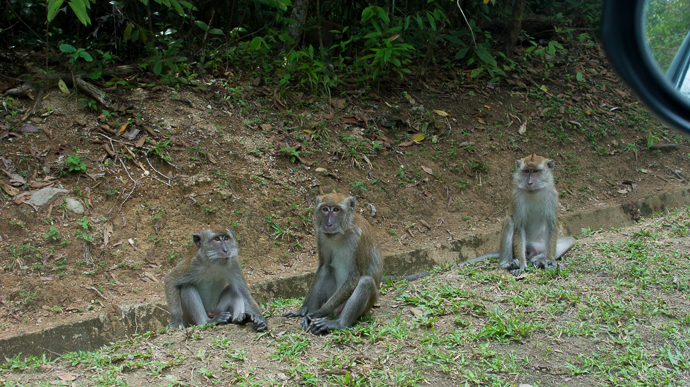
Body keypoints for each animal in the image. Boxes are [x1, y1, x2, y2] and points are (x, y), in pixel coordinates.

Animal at [282, 192, 384, 334]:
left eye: (336, 210)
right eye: (325, 209)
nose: (328, 224)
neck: (343, 231)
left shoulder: (359, 238)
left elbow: (354, 276)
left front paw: (320, 312)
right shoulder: (321, 235)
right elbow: (321, 265)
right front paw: (304, 309)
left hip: (363, 306)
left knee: (366, 282)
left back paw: (339, 323)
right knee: (326, 269)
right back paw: (309, 317)